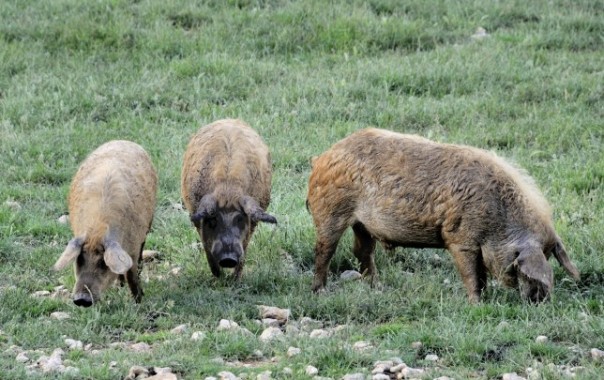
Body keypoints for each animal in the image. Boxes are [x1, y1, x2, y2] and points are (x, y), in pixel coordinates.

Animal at [54, 141, 157, 308]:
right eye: (79, 260)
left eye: (103, 263)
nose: (82, 299)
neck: (97, 230)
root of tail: (123, 140)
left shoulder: (133, 246)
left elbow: (132, 275)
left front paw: (138, 301)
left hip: (149, 222)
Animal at [180, 117, 278, 278]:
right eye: (213, 220)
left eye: (240, 219)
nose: (228, 258)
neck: (228, 190)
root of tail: (228, 119)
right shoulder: (197, 216)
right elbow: (207, 248)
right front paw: (219, 277)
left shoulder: (252, 221)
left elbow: (244, 247)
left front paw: (234, 280)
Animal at [306, 127, 580, 302]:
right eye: (522, 267)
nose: (539, 300)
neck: (498, 218)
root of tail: (322, 157)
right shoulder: (460, 239)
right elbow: (471, 274)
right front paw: (476, 303)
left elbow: (480, 274)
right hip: (331, 212)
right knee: (324, 250)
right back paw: (320, 292)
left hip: (362, 225)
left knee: (362, 251)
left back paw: (377, 288)